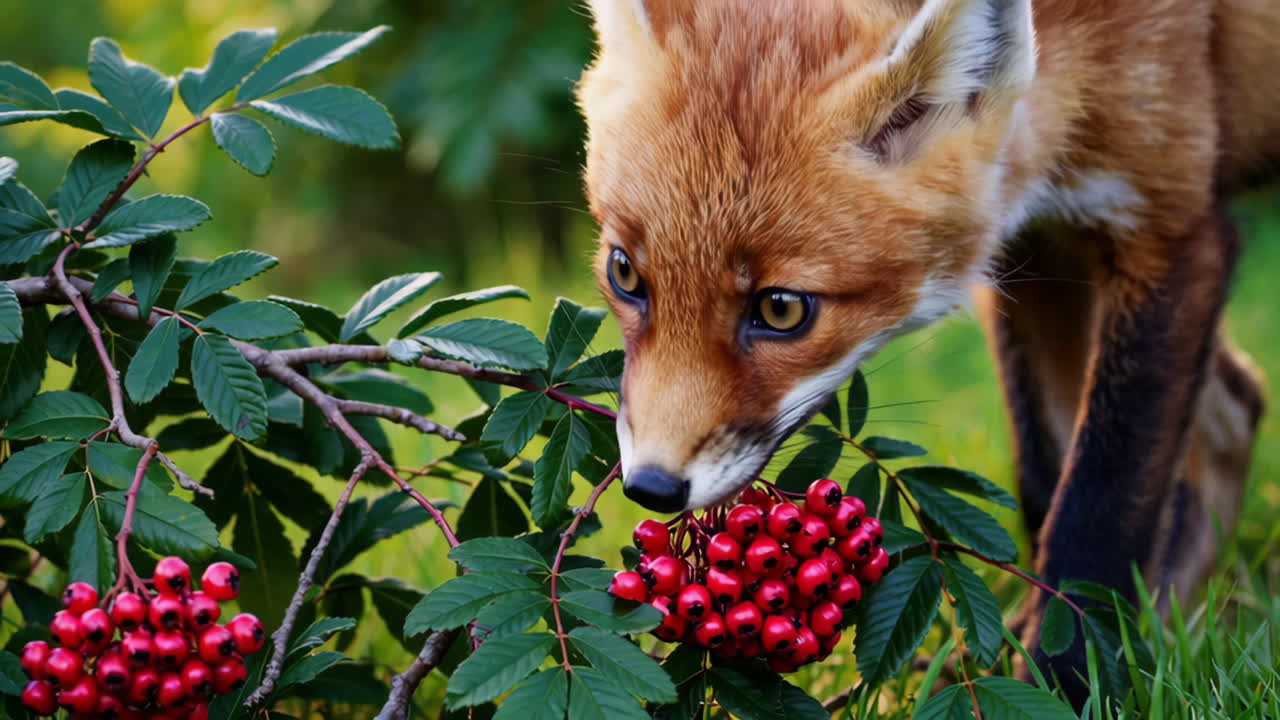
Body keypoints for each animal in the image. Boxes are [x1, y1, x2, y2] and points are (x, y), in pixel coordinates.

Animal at [576, 0, 1273, 700]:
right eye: (624, 273)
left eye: (781, 309)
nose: (650, 486)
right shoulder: (1037, 245)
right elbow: (1044, 477)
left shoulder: (1169, 228)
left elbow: (1099, 504)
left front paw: (1067, 683)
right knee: (1236, 409)